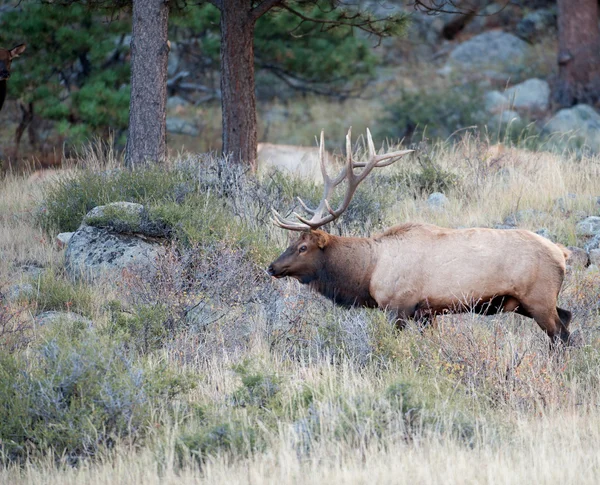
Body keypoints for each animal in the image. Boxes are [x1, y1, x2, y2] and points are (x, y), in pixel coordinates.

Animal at [268, 127, 572, 344]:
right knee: (568, 317)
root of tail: (562, 253)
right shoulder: (427, 313)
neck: (368, 272)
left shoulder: (398, 306)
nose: (272, 267)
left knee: (562, 335)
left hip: (539, 298)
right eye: (292, 242)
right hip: (530, 303)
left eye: (303, 246)